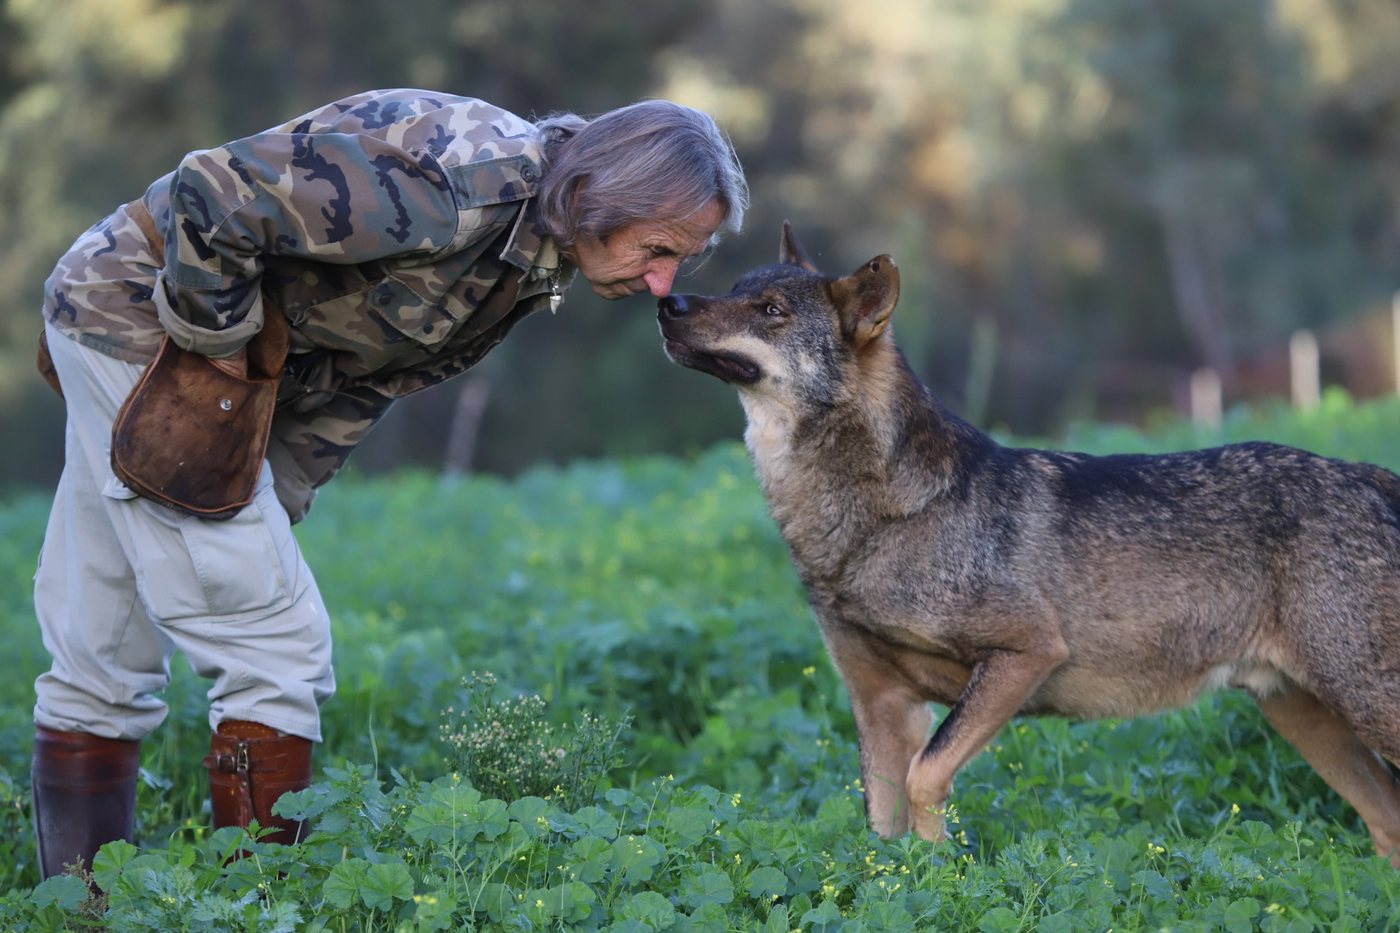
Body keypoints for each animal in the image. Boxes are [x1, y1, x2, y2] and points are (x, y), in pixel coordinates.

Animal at [656, 223, 1400, 865]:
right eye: (734, 286)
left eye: (771, 310)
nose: (667, 301)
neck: (870, 520)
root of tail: (1370, 475)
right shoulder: (879, 704)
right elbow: (880, 829)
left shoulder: (1025, 653)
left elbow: (927, 777)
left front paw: (945, 870)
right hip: (1306, 718)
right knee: (1387, 821)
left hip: (1361, 706)